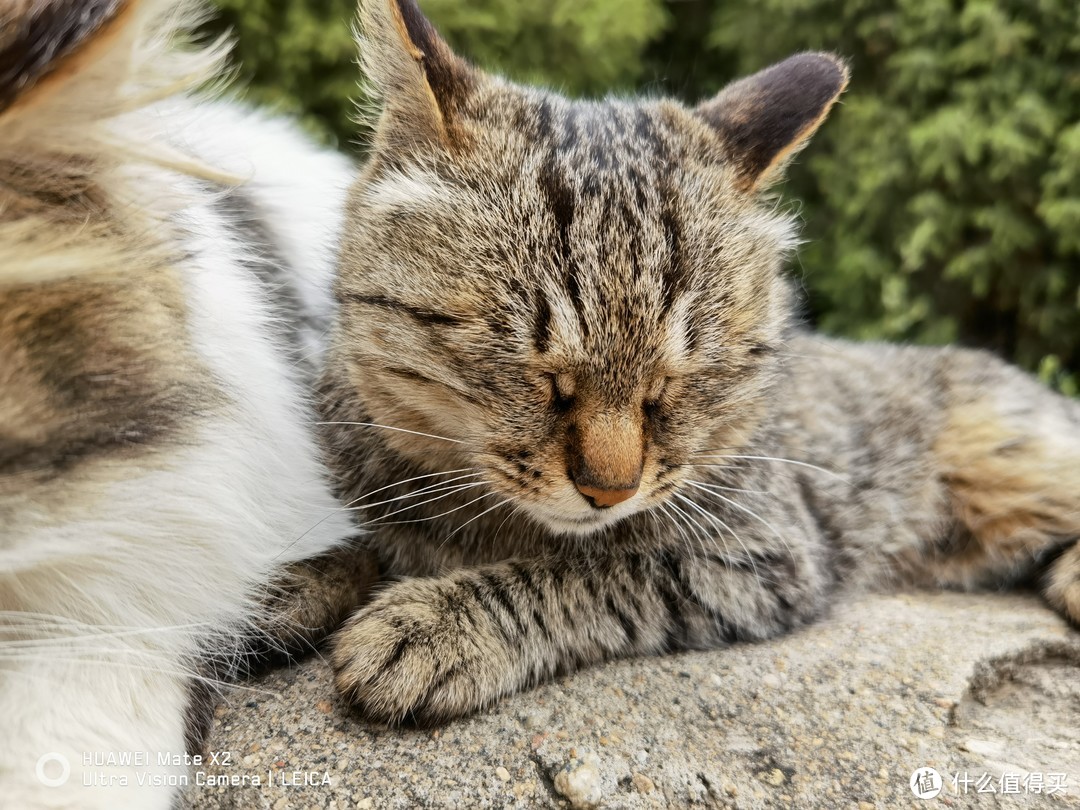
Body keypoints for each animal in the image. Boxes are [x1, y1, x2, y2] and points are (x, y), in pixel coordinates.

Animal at [319, 0, 1080, 725]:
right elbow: (334, 555)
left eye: (674, 382)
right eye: (539, 372)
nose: (609, 490)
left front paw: (442, 624)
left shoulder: (763, 554)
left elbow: (588, 570)